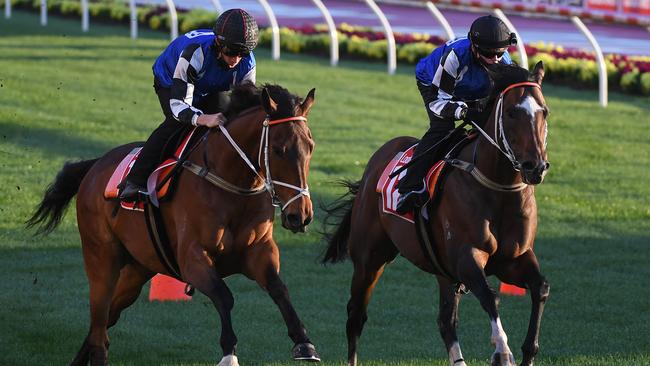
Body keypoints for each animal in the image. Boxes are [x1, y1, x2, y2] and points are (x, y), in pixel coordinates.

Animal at [28, 83, 322, 366]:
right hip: (101, 257)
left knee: (105, 319)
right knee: (99, 322)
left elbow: (279, 289)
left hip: (138, 268)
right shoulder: (192, 258)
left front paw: (304, 343)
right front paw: (229, 353)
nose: (300, 215)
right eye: (279, 150)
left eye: (310, 146)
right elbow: (224, 295)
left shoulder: (260, 251)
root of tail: (95, 165)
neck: (232, 184)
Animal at [322, 61, 548, 364]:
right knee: (356, 315)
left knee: (445, 322)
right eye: (512, 112)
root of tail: (376, 161)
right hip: (369, 258)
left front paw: (528, 352)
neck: (498, 187)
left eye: (544, 111)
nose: (536, 167)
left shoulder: (513, 259)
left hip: (443, 271)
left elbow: (540, 288)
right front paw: (502, 350)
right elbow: (491, 296)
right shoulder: (466, 257)